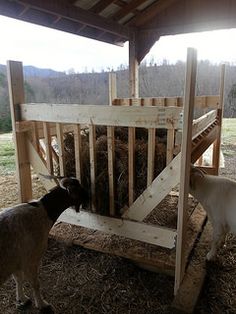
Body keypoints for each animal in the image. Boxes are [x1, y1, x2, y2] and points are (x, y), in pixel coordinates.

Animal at [0, 177, 89, 312]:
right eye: (79, 188)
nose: (89, 196)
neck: (43, 212)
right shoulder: (31, 259)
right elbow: (35, 284)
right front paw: (42, 304)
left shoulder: (16, 260)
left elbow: (18, 279)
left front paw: (22, 299)